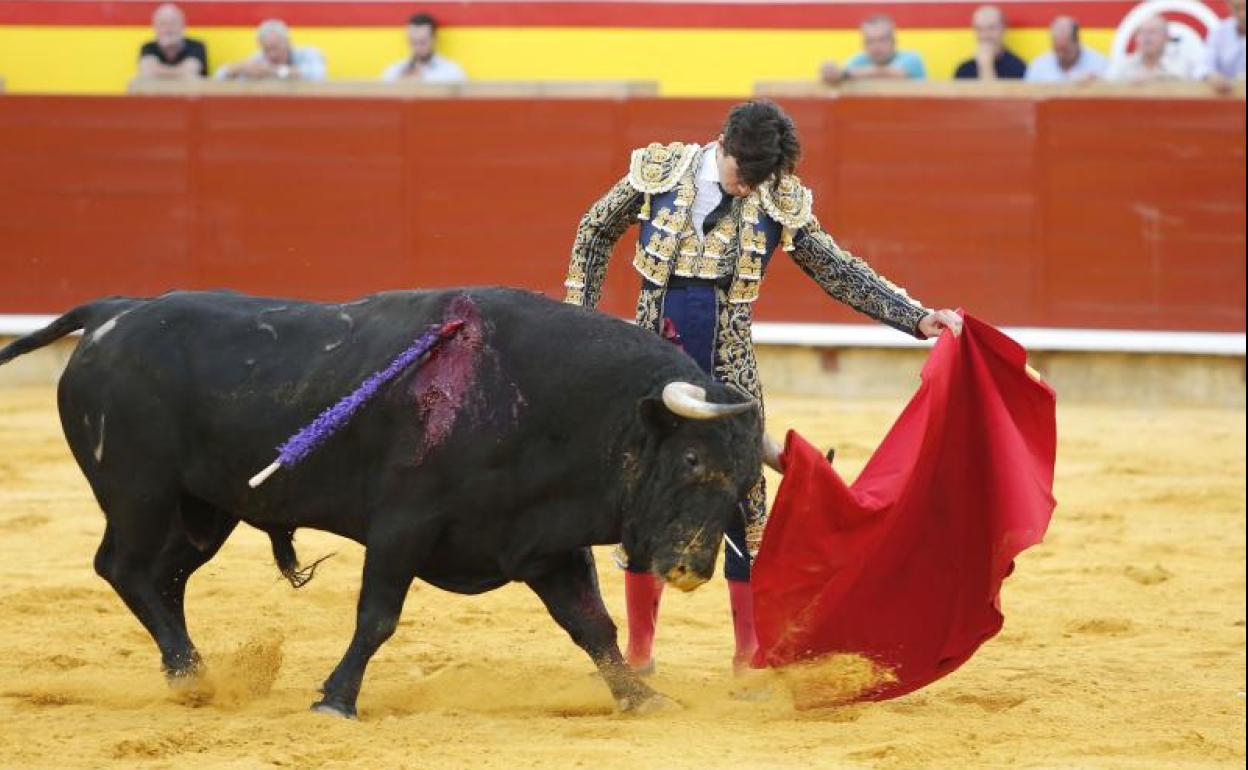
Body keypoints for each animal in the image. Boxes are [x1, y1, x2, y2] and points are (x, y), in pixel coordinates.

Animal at [0, 287, 758, 713]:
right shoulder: (403, 526)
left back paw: (189, 675)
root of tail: (114, 315)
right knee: (126, 569)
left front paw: (643, 698)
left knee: (164, 579)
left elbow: (593, 626)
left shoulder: (544, 543)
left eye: (749, 477)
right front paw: (336, 699)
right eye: (693, 459)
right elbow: (377, 618)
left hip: (204, 509)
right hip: (140, 492)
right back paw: (193, 677)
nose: (691, 569)